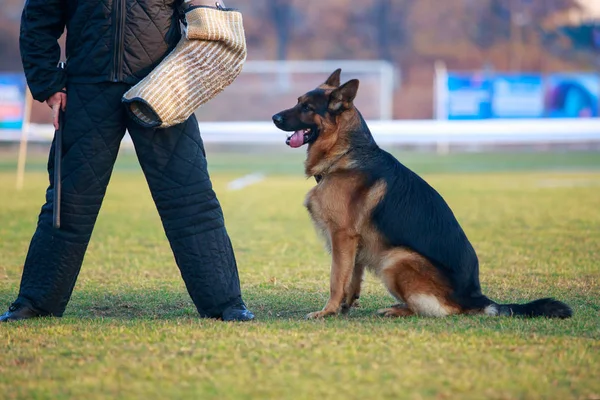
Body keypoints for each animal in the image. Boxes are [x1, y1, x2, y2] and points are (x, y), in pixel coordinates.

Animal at [272, 68, 572, 318]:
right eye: (298, 101)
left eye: (307, 107)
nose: (274, 117)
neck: (344, 153)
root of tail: (476, 297)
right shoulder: (353, 241)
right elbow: (351, 278)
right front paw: (344, 307)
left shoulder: (342, 236)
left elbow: (336, 279)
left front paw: (328, 311)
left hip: (396, 259)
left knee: (437, 310)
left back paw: (397, 310)